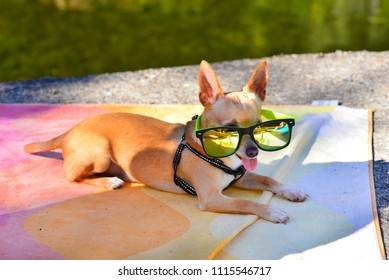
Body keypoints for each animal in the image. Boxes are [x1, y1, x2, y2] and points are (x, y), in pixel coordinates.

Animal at [25, 61, 308, 223]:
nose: (252, 152)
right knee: (71, 176)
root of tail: (71, 130)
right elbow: (246, 203)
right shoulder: (211, 198)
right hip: (100, 154)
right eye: (227, 130)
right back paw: (109, 180)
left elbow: (268, 179)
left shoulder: (240, 176)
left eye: (260, 126)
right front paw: (272, 212)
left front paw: (290, 191)